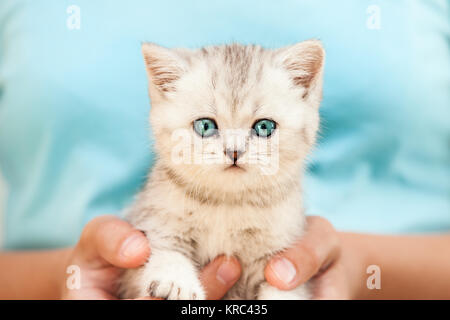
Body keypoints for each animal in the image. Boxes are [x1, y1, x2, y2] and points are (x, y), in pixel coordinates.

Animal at [118, 40, 326, 300]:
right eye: (205, 126)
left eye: (264, 127)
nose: (234, 152)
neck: (228, 204)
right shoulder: (153, 220)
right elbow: (165, 249)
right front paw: (175, 280)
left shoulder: (279, 253)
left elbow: (284, 290)